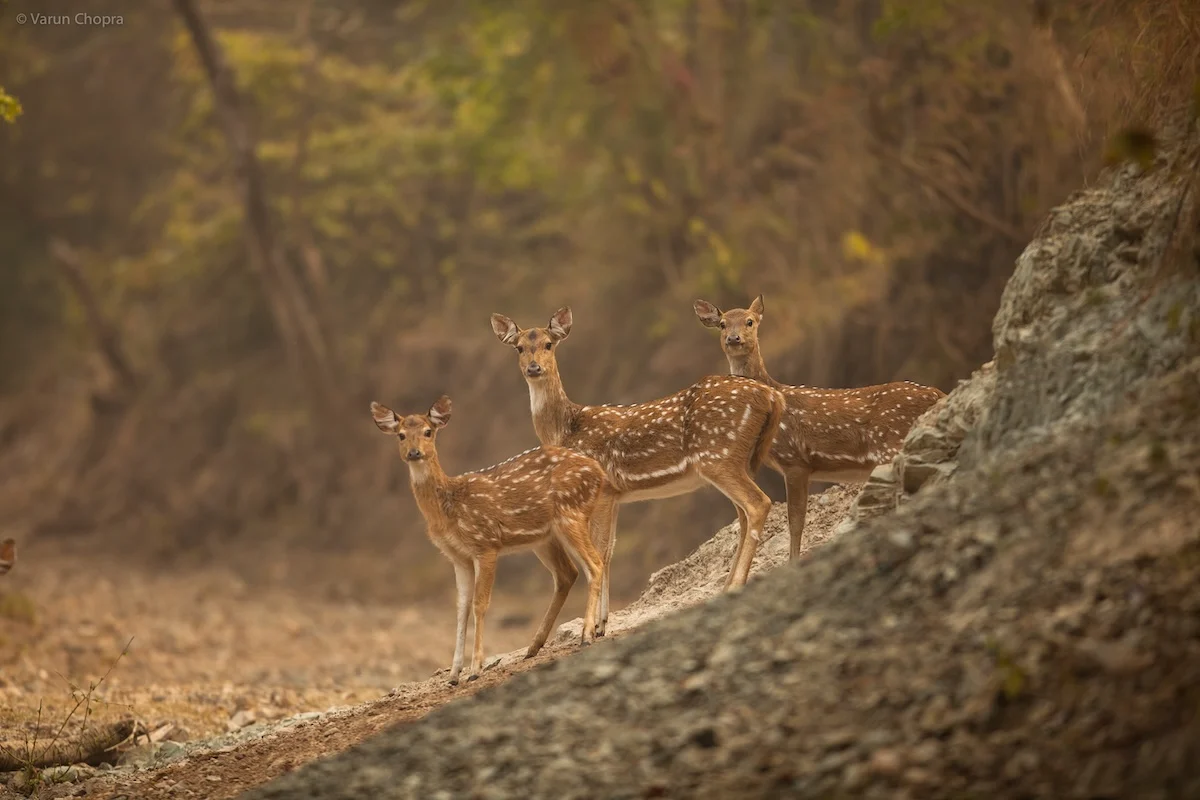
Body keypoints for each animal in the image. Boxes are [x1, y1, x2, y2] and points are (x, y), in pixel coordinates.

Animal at [371, 395, 613, 686]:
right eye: (401, 435)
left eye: (428, 432)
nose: (414, 453)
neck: (448, 509)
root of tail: (599, 472)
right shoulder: (458, 557)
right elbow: (461, 608)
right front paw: (454, 674)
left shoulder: (485, 544)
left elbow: (480, 604)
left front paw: (475, 668)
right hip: (544, 538)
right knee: (569, 573)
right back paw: (534, 646)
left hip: (571, 514)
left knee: (595, 564)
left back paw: (588, 634)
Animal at [490, 306, 787, 618]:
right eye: (519, 347)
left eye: (549, 344)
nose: (534, 368)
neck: (566, 429)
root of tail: (772, 396)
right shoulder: (615, 495)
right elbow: (608, 552)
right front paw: (602, 621)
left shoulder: (603, 490)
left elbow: (600, 552)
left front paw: (597, 622)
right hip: (741, 459)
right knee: (744, 512)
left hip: (718, 456)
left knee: (757, 503)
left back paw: (735, 585)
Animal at [694, 295, 946, 560]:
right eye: (722, 324)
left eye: (750, 321)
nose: (734, 338)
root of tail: (938, 393)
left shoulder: (795, 461)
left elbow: (795, 522)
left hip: (892, 444)